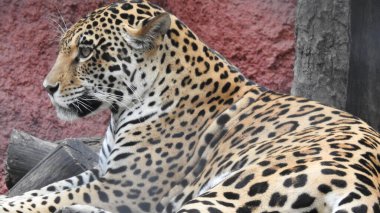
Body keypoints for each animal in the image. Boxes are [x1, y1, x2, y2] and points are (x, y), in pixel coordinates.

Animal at [0, 0, 380, 213]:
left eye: (86, 51)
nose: (47, 88)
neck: (120, 112)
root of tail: (366, 187)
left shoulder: (127, 187)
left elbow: (50, 198)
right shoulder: (102, 171)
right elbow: (47, 189)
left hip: (237, 185)